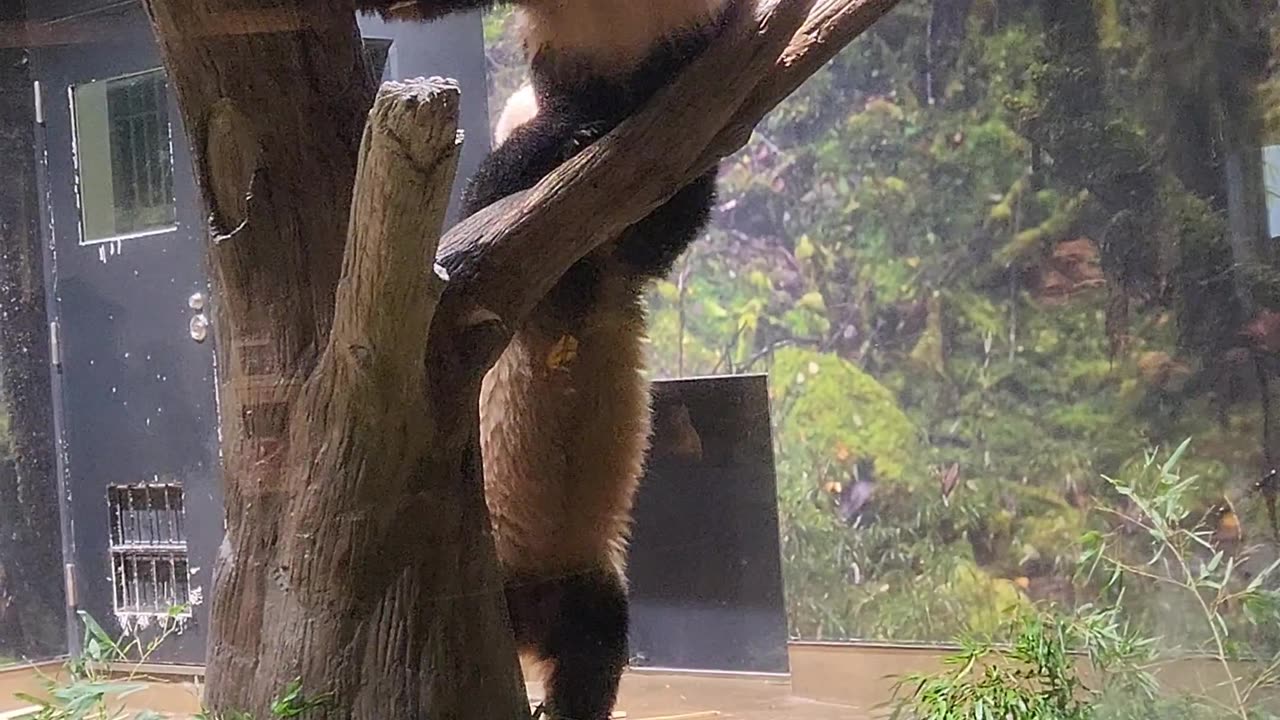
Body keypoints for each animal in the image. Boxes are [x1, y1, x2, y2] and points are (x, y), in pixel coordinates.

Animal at [358, 1, 742, 712]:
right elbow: (485, 202)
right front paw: (563, 132)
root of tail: (527, 617)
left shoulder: (622, 256)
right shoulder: (508, 258)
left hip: (580, 582)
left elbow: (665, 226)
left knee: (596, 641)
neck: (580, 271)